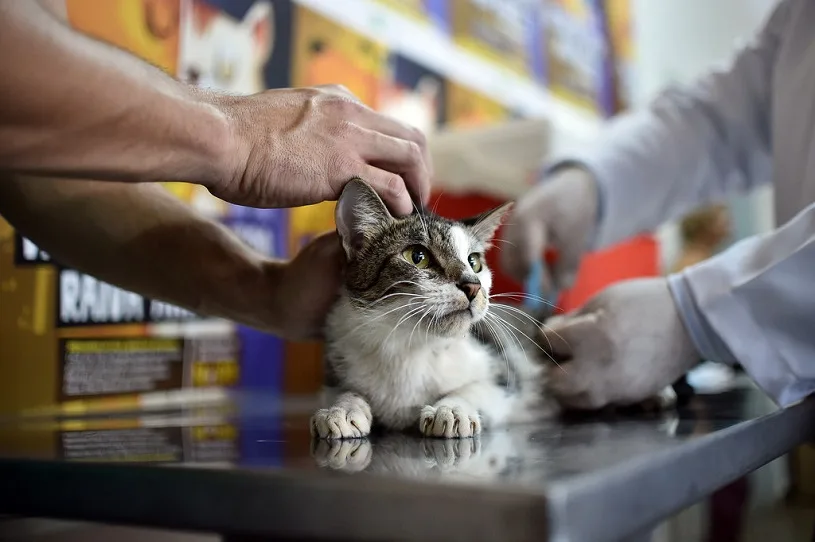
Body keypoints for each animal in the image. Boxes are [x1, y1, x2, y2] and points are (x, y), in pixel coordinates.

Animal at [310, 180, 556, 442]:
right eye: (418, 256)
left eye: (474, 262)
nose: (473, 285)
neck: (409, 344)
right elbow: (342, 389)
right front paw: (341, 408)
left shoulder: (504, 369)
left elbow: (480, 387)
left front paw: (452, 409)